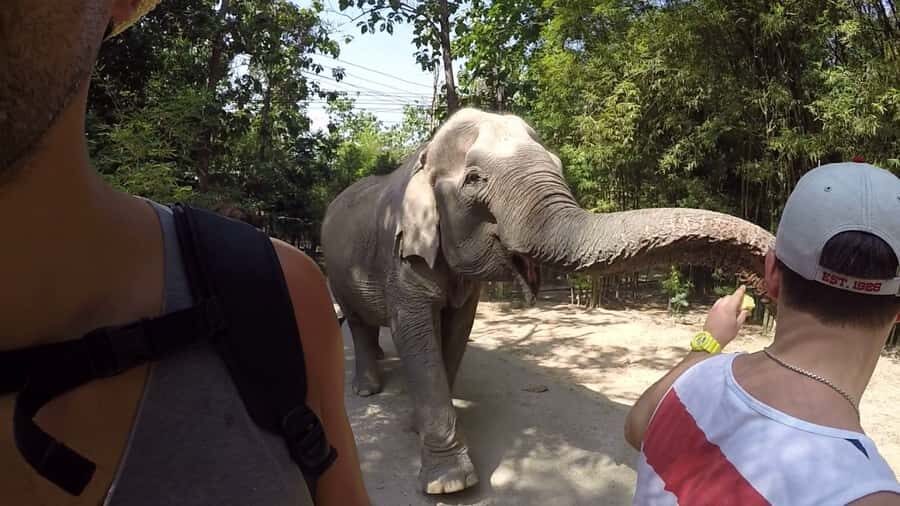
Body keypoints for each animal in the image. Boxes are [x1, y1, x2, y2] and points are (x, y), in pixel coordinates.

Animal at [321, 108, 774, 494]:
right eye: (474, 180)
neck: (424, 155)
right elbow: (416, 331)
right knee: (357, 321)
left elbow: (457, 329)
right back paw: (367, 389)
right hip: (336, 271)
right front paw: (449, 483)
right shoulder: (401, 256)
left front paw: (418, 424)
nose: (764, 282)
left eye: (557, 165)